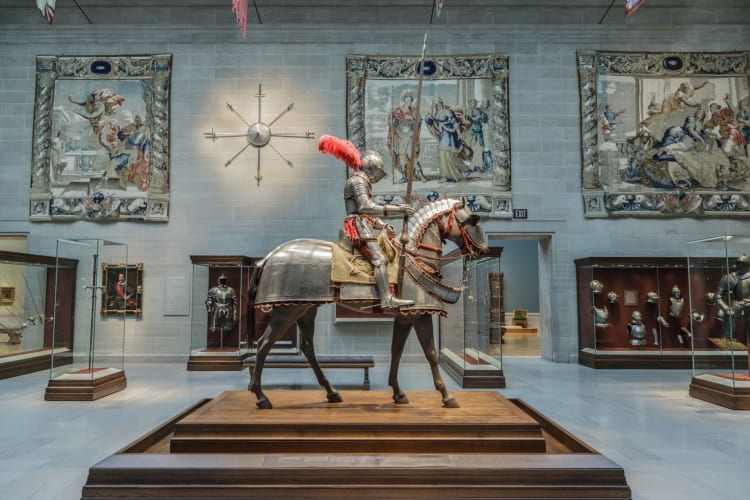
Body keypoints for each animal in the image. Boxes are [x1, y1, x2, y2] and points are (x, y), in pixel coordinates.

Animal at [250, 199, 490, 410]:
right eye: (473, 221)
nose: (483, 251)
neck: (414, 258)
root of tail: (269, 257)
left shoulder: (404, 317)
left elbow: (396, 350)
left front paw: (398, 393)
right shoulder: (419, 315)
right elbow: (431, 354)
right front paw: (447, 397)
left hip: (306, 308)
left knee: (307, 347)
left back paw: (332, 392)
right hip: (287, 311)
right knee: (264, 344)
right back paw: (261, 397)